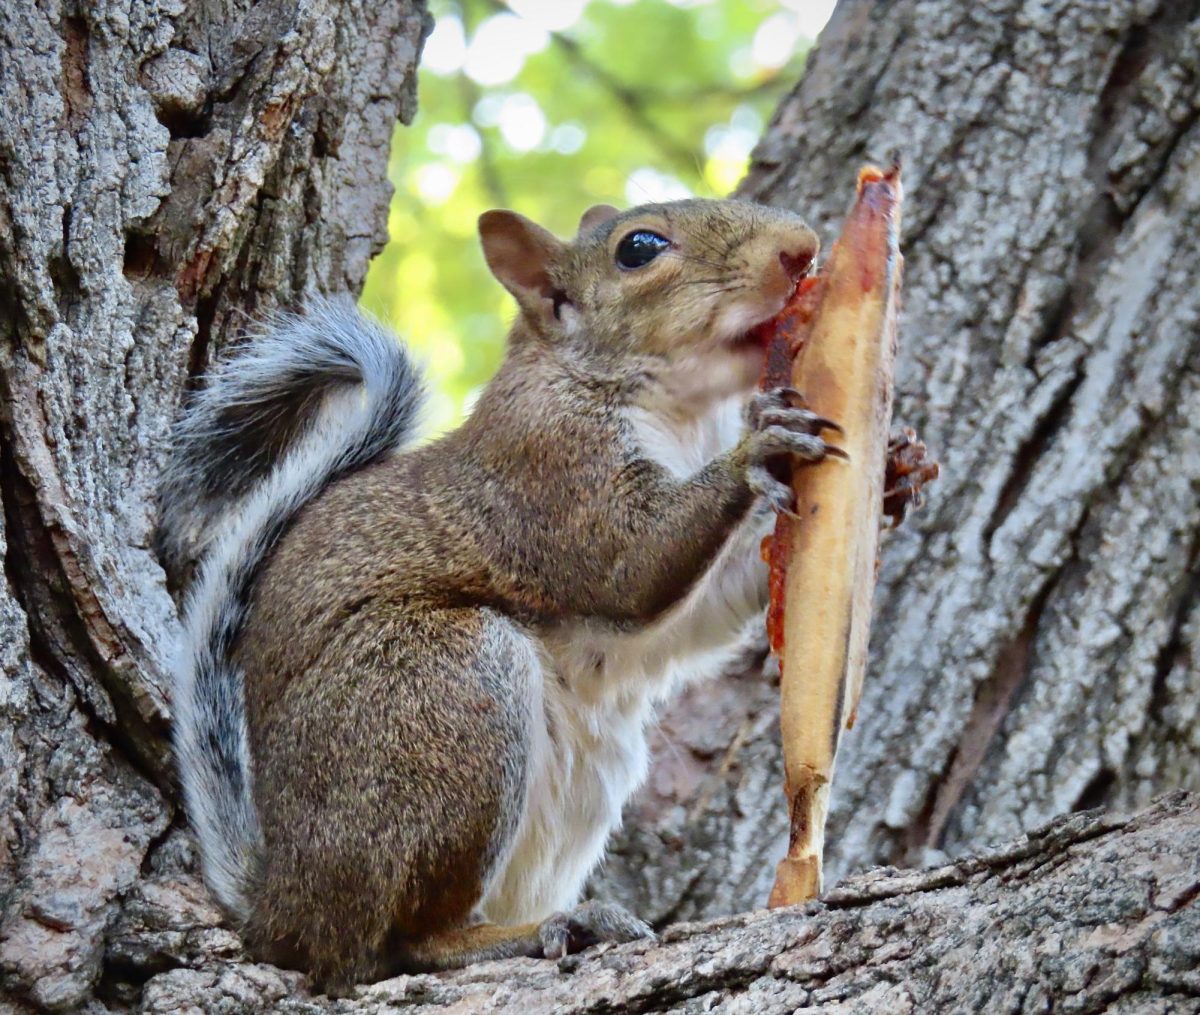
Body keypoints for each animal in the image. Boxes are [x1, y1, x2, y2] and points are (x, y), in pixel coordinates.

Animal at [159, 199, 840, 993]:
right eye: (638, 249)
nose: (801, 249)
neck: (679, 410)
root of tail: (282, 910)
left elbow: (697, 617)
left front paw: (896, 468)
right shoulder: (547, 472)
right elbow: (630, 564)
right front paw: (760, 446)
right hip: (442, 693)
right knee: (398, 943)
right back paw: (533, 930)